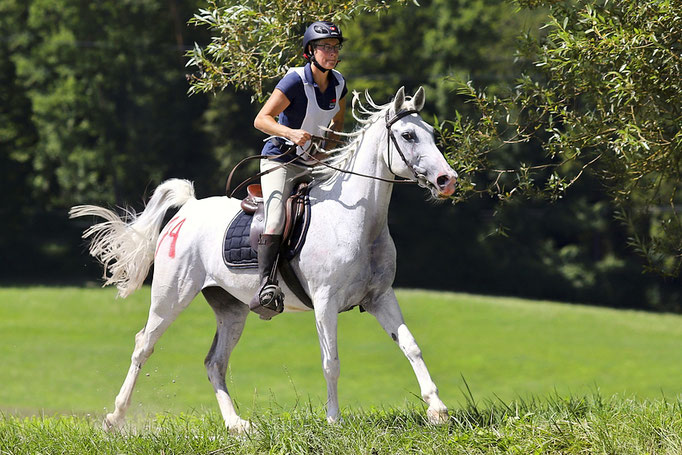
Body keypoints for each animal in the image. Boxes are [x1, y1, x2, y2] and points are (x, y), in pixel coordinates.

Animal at [71, 88, 456, 434]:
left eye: (432, 133)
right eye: (408, 135)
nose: (447, 180)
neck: (358, 221)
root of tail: (188, 209)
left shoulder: (379, 297)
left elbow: (411, 347)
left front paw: (437, 410)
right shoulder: (326, 302)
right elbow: (331, 361)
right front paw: (334, 420)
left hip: (231, 307)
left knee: (214, 362)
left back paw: (237, 424)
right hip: (170, 297)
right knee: (143, 346)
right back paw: (115, 418)